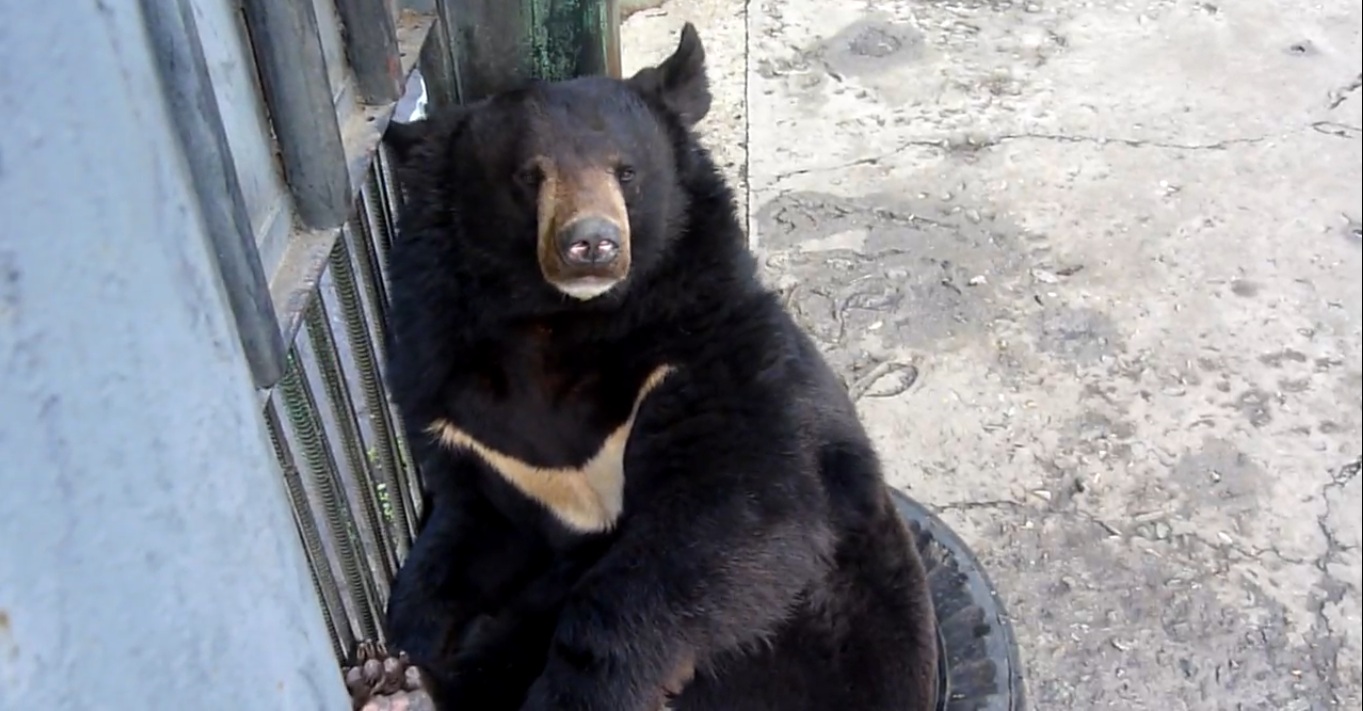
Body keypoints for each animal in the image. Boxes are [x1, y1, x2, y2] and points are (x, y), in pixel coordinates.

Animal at [372, 22, 940, 711]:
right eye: (530, 176)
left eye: (627, 172)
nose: (591, 244)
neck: (559, 322)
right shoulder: (469, 418)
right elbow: (466, 527)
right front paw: (410, 643)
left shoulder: (702, 359)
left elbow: (736, 514)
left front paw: (579, 691)